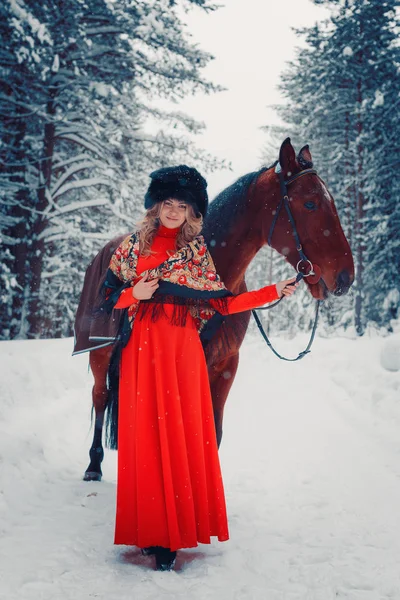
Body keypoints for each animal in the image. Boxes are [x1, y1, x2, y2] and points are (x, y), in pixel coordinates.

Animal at [74, 138, 354, 480]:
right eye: (311, 203)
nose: (346, 277)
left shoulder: (225, 366)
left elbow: (212, 434)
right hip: (98, 353)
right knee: (100, 397)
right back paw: (94, 464)